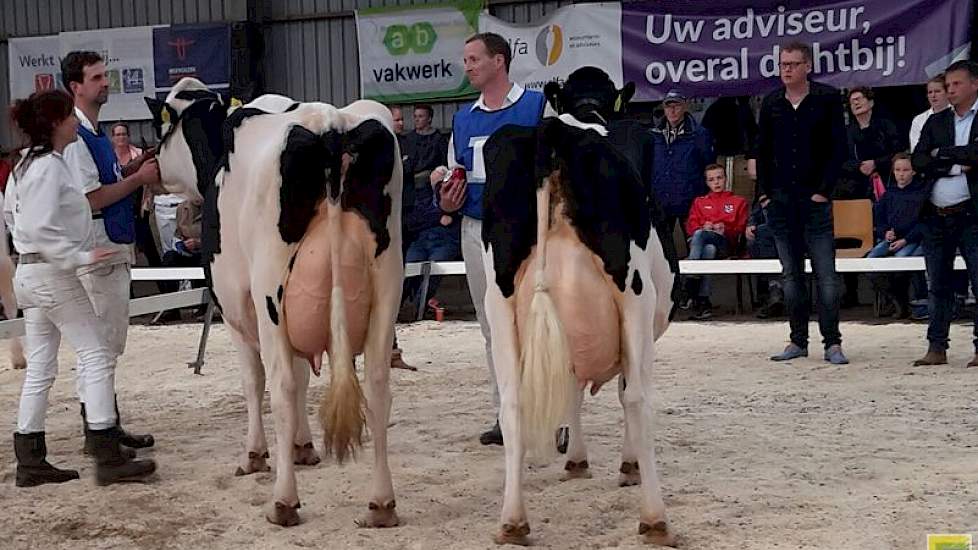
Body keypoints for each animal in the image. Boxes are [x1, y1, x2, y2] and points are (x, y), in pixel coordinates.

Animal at [146, 78, 404, 532]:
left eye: (163, 130)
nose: (152, 166)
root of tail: (330, 124)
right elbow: (302, 374)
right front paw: (303, 447)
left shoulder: (236, 308)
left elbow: (255, 380)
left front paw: (255, 455)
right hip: (387, 285)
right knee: (376, 384)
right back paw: (381, 504)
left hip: (269, 291)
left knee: (280, 386)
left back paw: (283, 501)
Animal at [476, 69, 676, 548]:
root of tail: (555, 132)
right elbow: (621, 392)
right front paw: (625, 464)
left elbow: (570, 388)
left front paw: (577, 459)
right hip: (635, 293)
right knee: (638, 397)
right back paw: (655, 518)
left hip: (499, 298)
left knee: (513, 401)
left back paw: (512, 520)